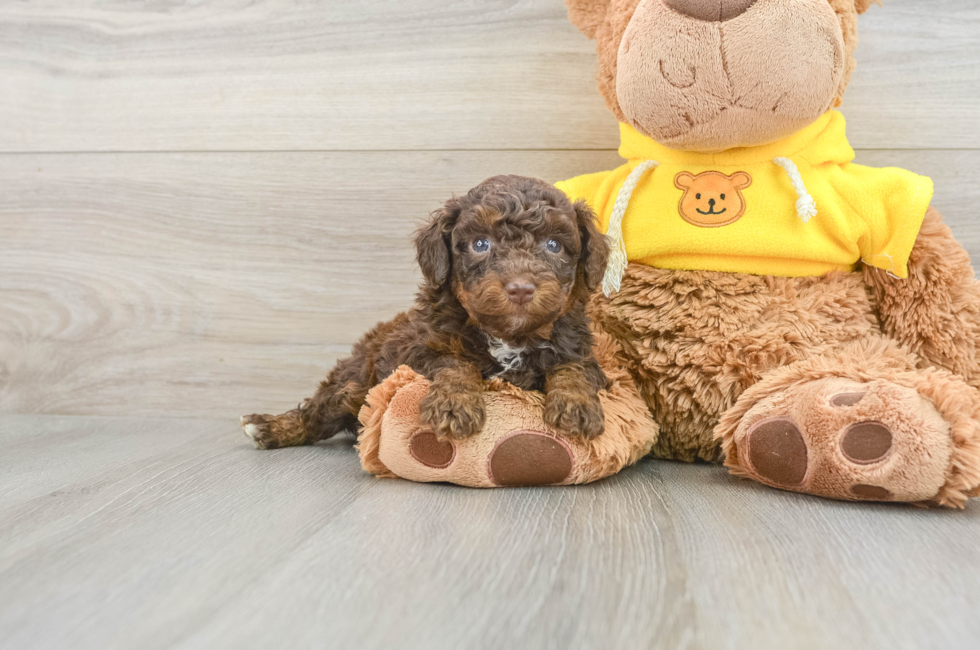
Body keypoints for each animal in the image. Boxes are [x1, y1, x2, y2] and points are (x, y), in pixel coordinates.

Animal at [244, 172, 608, 448]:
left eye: (554, 245)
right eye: (480, 244)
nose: (520, 288)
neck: (510, 337)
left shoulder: (582, 351)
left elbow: (572, 368)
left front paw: (576, 406)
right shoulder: (420, 349)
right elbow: (455, 363)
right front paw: (454, 405)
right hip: (356, 380)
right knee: (320, 411)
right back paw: (268, 427)